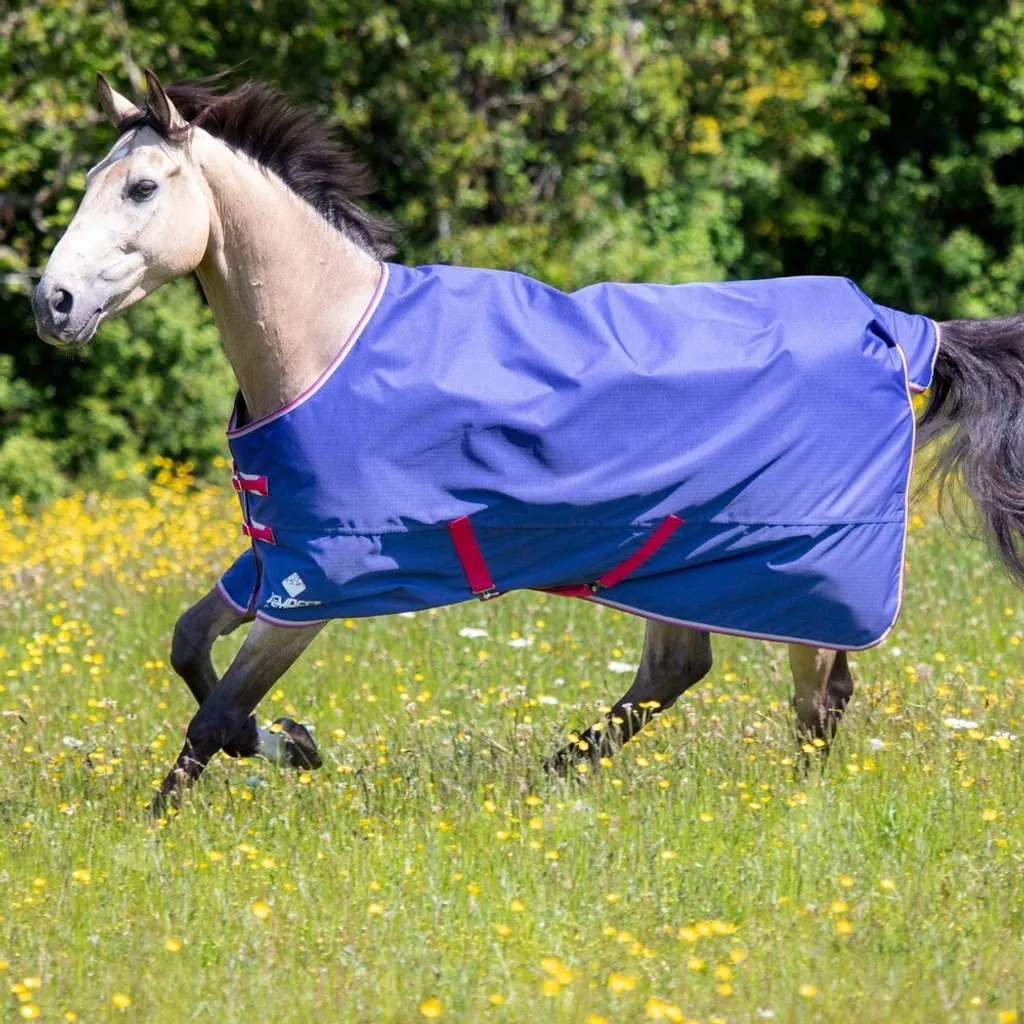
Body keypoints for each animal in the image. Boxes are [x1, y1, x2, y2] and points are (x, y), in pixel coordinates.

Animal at [31, 71, 1024, 814]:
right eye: (85, 184)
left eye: (142, 187)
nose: (53, 304)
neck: (326, 341)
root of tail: (892, 326)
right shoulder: (276, 558)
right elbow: (189, 650)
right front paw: (297, 743)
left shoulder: (322, 582)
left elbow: (215, 716)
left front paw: (180, 815)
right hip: (679, 561)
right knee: (685, 670)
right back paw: (550, 777)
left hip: (793, 568)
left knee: (813, 700)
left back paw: (784, 806)